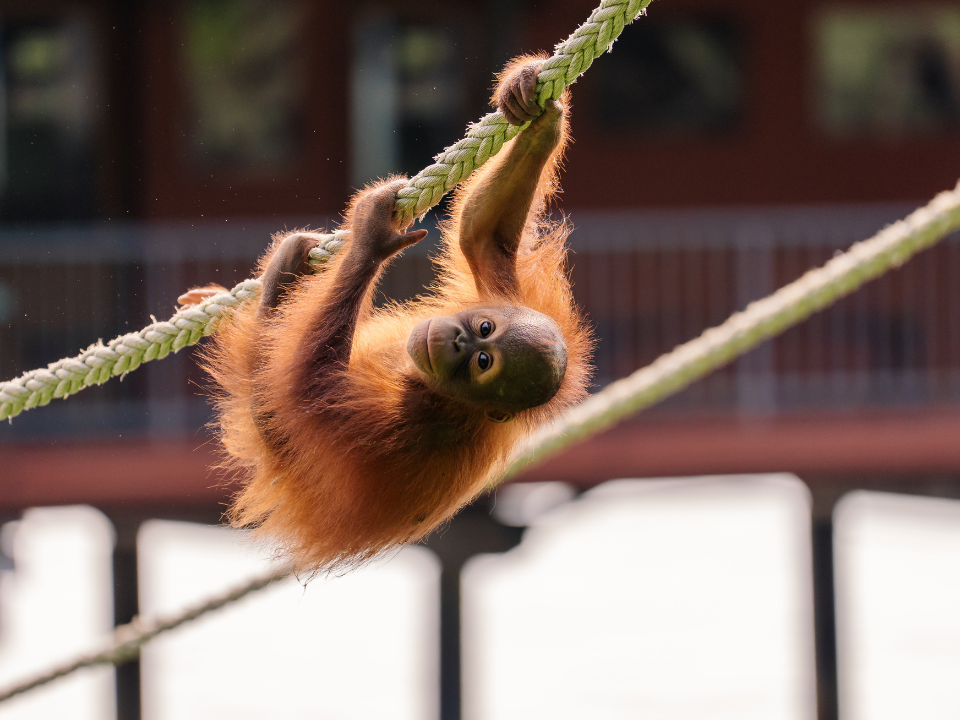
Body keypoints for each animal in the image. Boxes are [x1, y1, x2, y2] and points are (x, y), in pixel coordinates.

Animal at [184, 57, 592, 573]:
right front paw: (537, 109)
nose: (459, 342)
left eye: (483, 363)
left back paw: (277, 286)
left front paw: (373, 241)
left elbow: (307, 391)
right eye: (484, 328)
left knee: (271, 399)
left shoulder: (408, 431)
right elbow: (482, 233)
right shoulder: (512, 297)